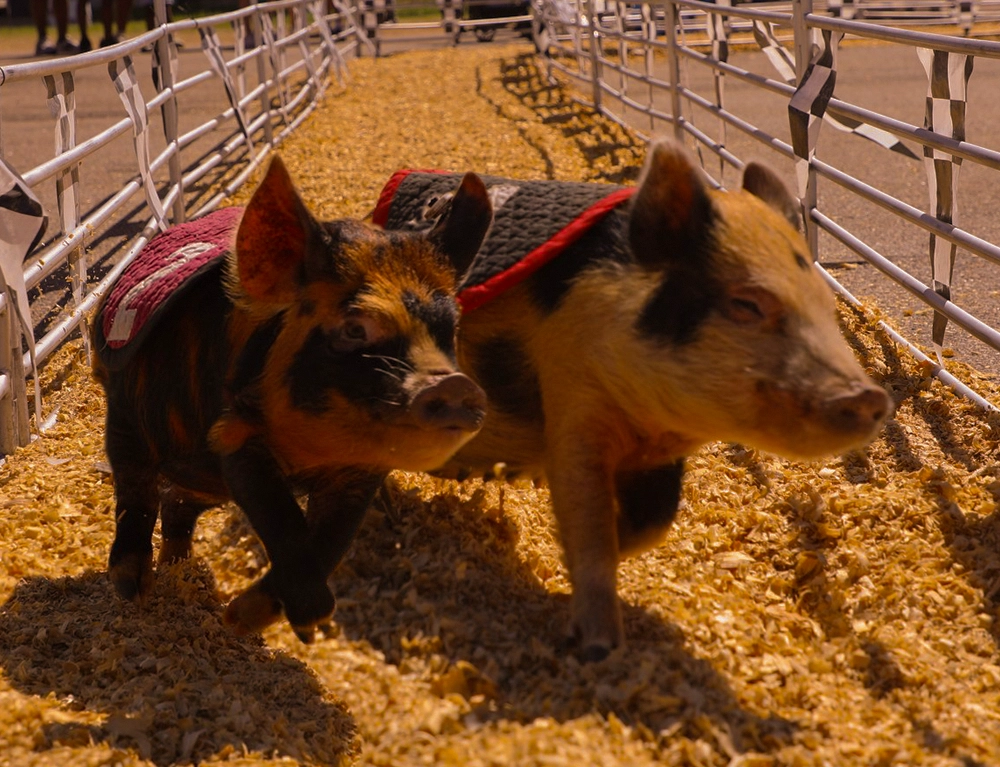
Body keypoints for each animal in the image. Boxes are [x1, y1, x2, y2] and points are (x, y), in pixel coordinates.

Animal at [91, 156, 493, 642]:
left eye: (450, 328)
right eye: (355, 327)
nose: (453, 385)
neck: (309, 455)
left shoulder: (358, 472)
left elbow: (330, 542)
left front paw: (249, 622)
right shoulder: (234, 434)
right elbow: (283, 520)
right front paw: (275, 622)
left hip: (203, 486)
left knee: (176, 507)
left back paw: (181, 573)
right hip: (126, 416)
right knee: (137, 493)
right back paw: (133, 587)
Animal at [376, 140, 891, 660]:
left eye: (824, 305)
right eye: (746, 304)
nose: (869, 396)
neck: (649, 422)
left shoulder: (660, 455)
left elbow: (654, 521)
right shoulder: (572, 405)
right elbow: (587, 515)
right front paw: (596, 646)